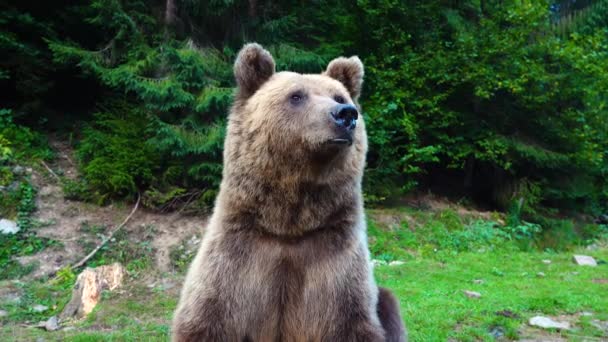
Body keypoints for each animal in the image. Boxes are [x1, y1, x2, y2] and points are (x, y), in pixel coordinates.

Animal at [171, 43, 406, 342]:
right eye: (296, 96)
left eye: (339, 95)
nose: (346, 114)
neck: (288, 223)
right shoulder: (237, 258)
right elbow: (208, 319)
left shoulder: (333, 258)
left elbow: (348, 321)